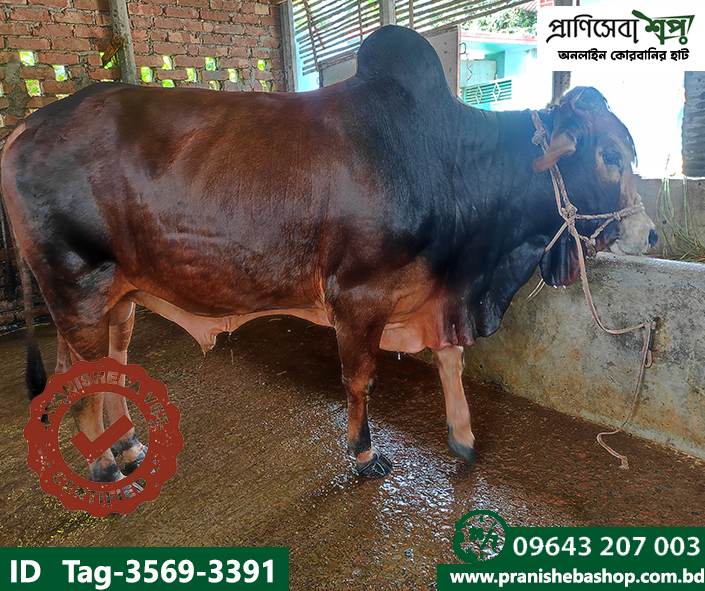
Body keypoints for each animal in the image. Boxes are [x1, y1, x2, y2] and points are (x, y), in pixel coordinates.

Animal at [1, 25, 656, 482]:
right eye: (608, 155)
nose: (649, 234)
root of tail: (28, 126)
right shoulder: (359, 296)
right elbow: (360, 377)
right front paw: (365, 455)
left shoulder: (436, 292)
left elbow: (450, 361)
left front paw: (464, 440)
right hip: (76, 288)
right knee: (81, 375)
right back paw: (103, 466)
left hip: (119, 297)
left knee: (109, 367)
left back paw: (126, 445)